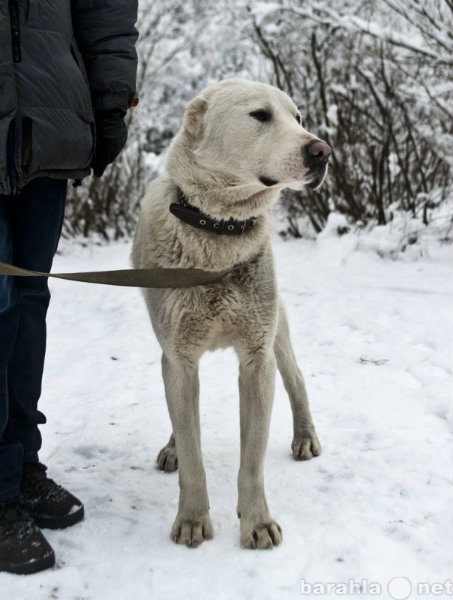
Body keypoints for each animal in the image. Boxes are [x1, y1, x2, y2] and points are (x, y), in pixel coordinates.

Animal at [131, 78, 328, 548]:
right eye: (260, 115)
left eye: (298, 117)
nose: (323, 151)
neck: (218, 230)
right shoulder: (179, 359)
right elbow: (193, 453)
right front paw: (192, 520)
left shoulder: (257, 359)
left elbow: (251, 460)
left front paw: (256, 522)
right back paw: (173, 447)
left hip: (278, 335)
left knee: (296, 379)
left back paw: (305, 435)